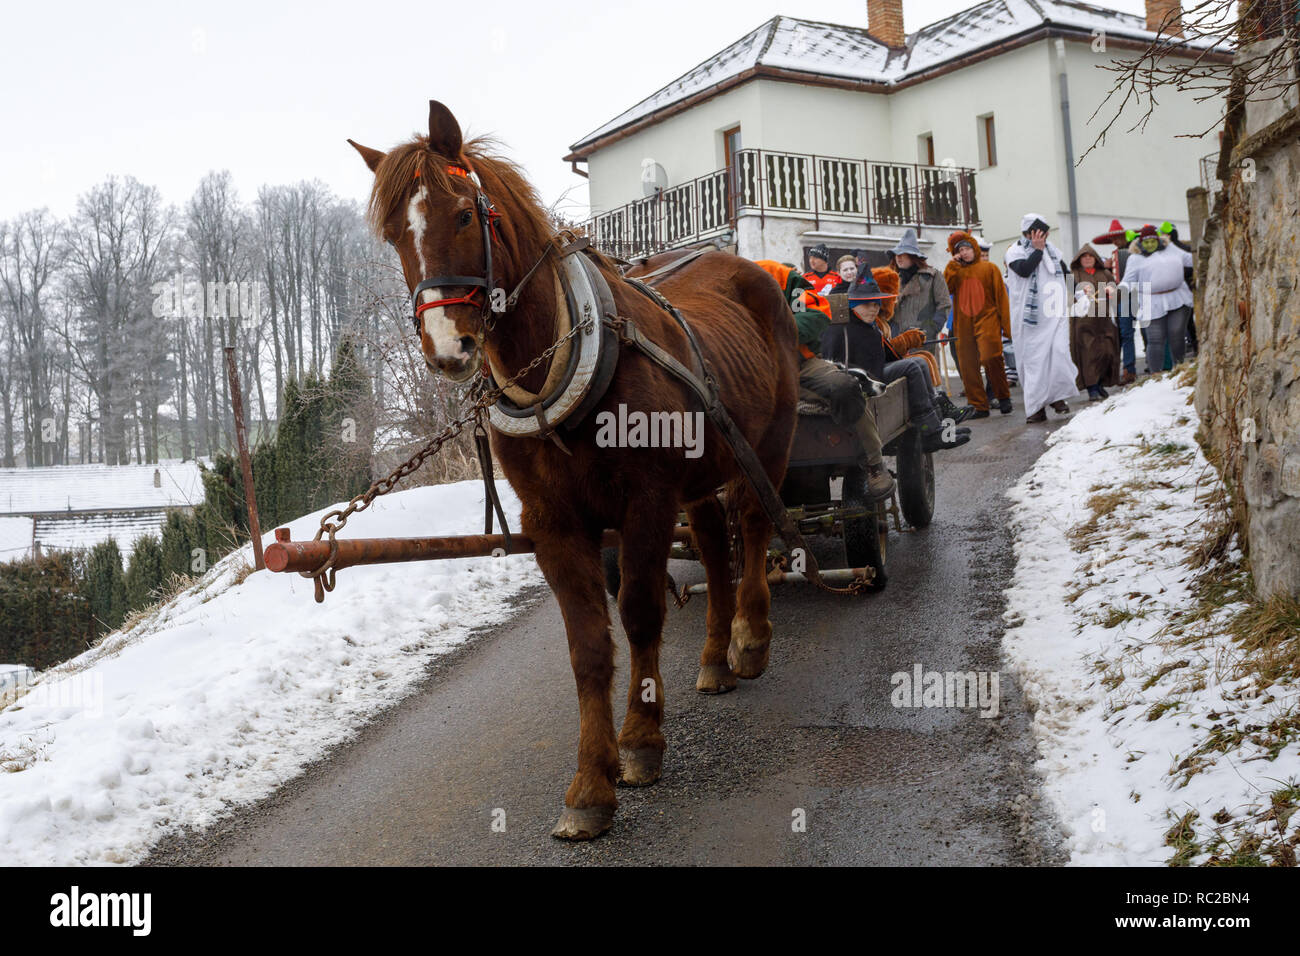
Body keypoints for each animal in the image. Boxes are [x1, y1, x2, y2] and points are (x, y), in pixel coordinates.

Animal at [356, 100, 795, 842]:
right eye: (394, 237)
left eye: (464, 215)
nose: (449, 349)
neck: (557, 371)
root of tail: (745, 266)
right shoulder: (553, 523)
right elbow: (588, 647)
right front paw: (591, 782)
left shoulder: (645, 502)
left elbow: (641, 615)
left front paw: (641, 742)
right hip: (701, 470)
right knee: (714, 547)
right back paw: (713, 658)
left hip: (764, 446)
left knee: (755, 526)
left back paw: (749, 638)